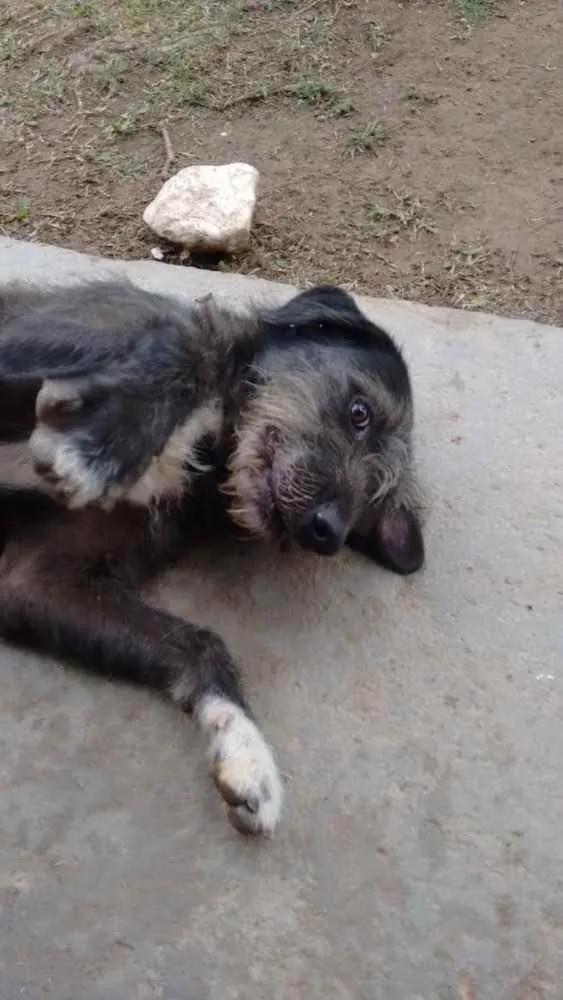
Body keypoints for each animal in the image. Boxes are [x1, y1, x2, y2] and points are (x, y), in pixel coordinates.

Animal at [0, 282, 426, 836]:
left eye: (375, 499)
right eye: (360, 413)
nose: (328, 532)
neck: (212, 449)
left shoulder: (38, 575)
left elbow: (201, 644)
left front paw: (245, 750)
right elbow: (191, 343)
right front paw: (105, 438)